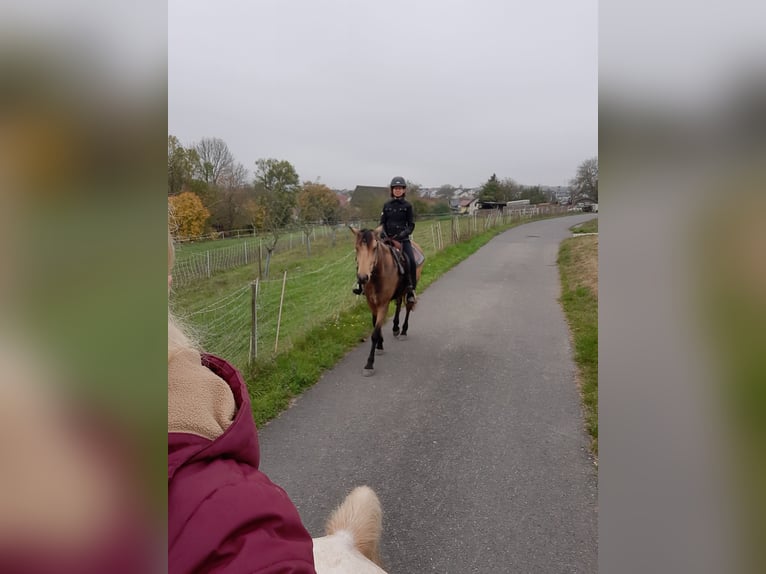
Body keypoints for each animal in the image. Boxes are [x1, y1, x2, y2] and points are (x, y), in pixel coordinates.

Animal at [350, 225, 424, 378]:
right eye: (356, 248)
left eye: (374, 248)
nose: (362, 277)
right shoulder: (371, 303)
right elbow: (375, 326)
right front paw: (380, 345)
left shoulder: (383, 305)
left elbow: (375, 333)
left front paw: (369, 364)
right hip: (399, 291)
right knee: (398, 304)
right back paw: (395, 328)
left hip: (410, 289)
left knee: (408, 306)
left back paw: (403, 331)